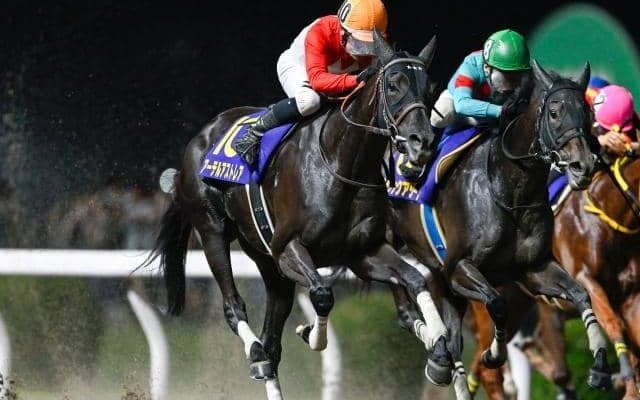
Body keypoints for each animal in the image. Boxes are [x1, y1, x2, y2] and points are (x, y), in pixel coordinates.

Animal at [140, 31, 457, 400]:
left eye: (429, 87)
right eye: (393, 84)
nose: (423, 142)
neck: (341, 162)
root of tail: (198, 139)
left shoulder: (363, 253)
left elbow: (415, 278)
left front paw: (439, 351)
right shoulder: (289, 247)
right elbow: (322, 295)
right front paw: (310, 333)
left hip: (266, 260)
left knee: (273, 341)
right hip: (212, 231)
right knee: (235, 309)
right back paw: (255, 354)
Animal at [386, 59, 616, 399]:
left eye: (587, 112)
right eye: (554, 112)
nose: (582, 165)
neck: (509, 191)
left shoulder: (532, 268)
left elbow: (581, 294)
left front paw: (600, 366)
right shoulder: (459, 266)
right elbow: (496, 302)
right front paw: (494, 353)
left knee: (452, 339)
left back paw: (440, 360)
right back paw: (415, 322)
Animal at [468, 154, 640, 400]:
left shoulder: (630, 295)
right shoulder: (586, 280)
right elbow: (613, 324)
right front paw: (623, 384)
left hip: (516, 309)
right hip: (492, 309)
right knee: (490, 373)